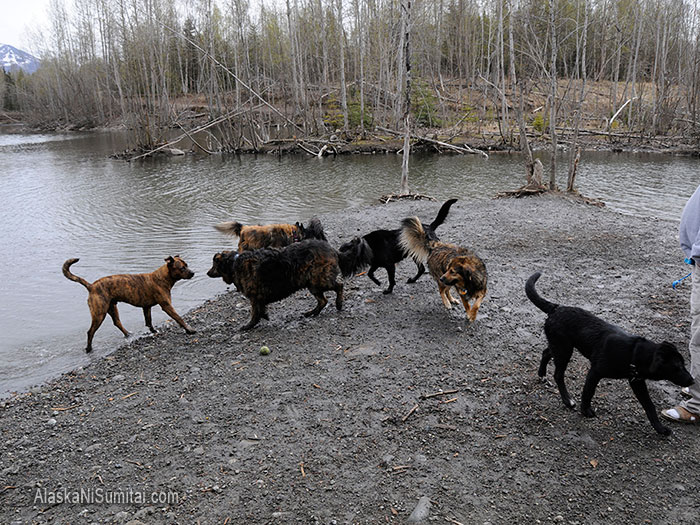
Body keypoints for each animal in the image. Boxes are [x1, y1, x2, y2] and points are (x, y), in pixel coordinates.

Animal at [62, 255, 196, 352]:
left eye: (187, 265)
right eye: (182, 268)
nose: (193, 273)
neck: (162, 278)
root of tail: (91, 286)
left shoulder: (146, 307)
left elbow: (149, 321)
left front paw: (153, 331)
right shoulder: (166, 306)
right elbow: (178, 318)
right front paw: (189, 329)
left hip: (112, 308)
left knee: (117, 322)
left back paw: (128, 334)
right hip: (99, 314)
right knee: (90, 332)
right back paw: (89, 349)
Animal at [206, 239, 346, 330]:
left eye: (214, 264)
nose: (207, 273)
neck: (234, 263)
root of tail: (332, 249)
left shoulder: (254, 297)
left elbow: (255, 313)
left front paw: (248, 326)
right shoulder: (258, 298)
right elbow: (261, 310)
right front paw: (264, 316)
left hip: (319, 280)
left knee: (339, 286)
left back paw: (338, 304)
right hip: (313, 284)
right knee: (323, 301)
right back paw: (311, 313)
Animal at [524, 270, 696, 434]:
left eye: (683, 364)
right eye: (677, 367)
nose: (692, 380)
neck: (632, 352)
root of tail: (556, 307)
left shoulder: (637, 382)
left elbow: (649, 406)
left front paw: (660, 429)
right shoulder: (595, 372)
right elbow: (588, 392)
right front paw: (585, 410)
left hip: (560, 346)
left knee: (546, 352)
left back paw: (542, 375)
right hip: (564, 350)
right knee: (558, 374)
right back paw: (567, 400)